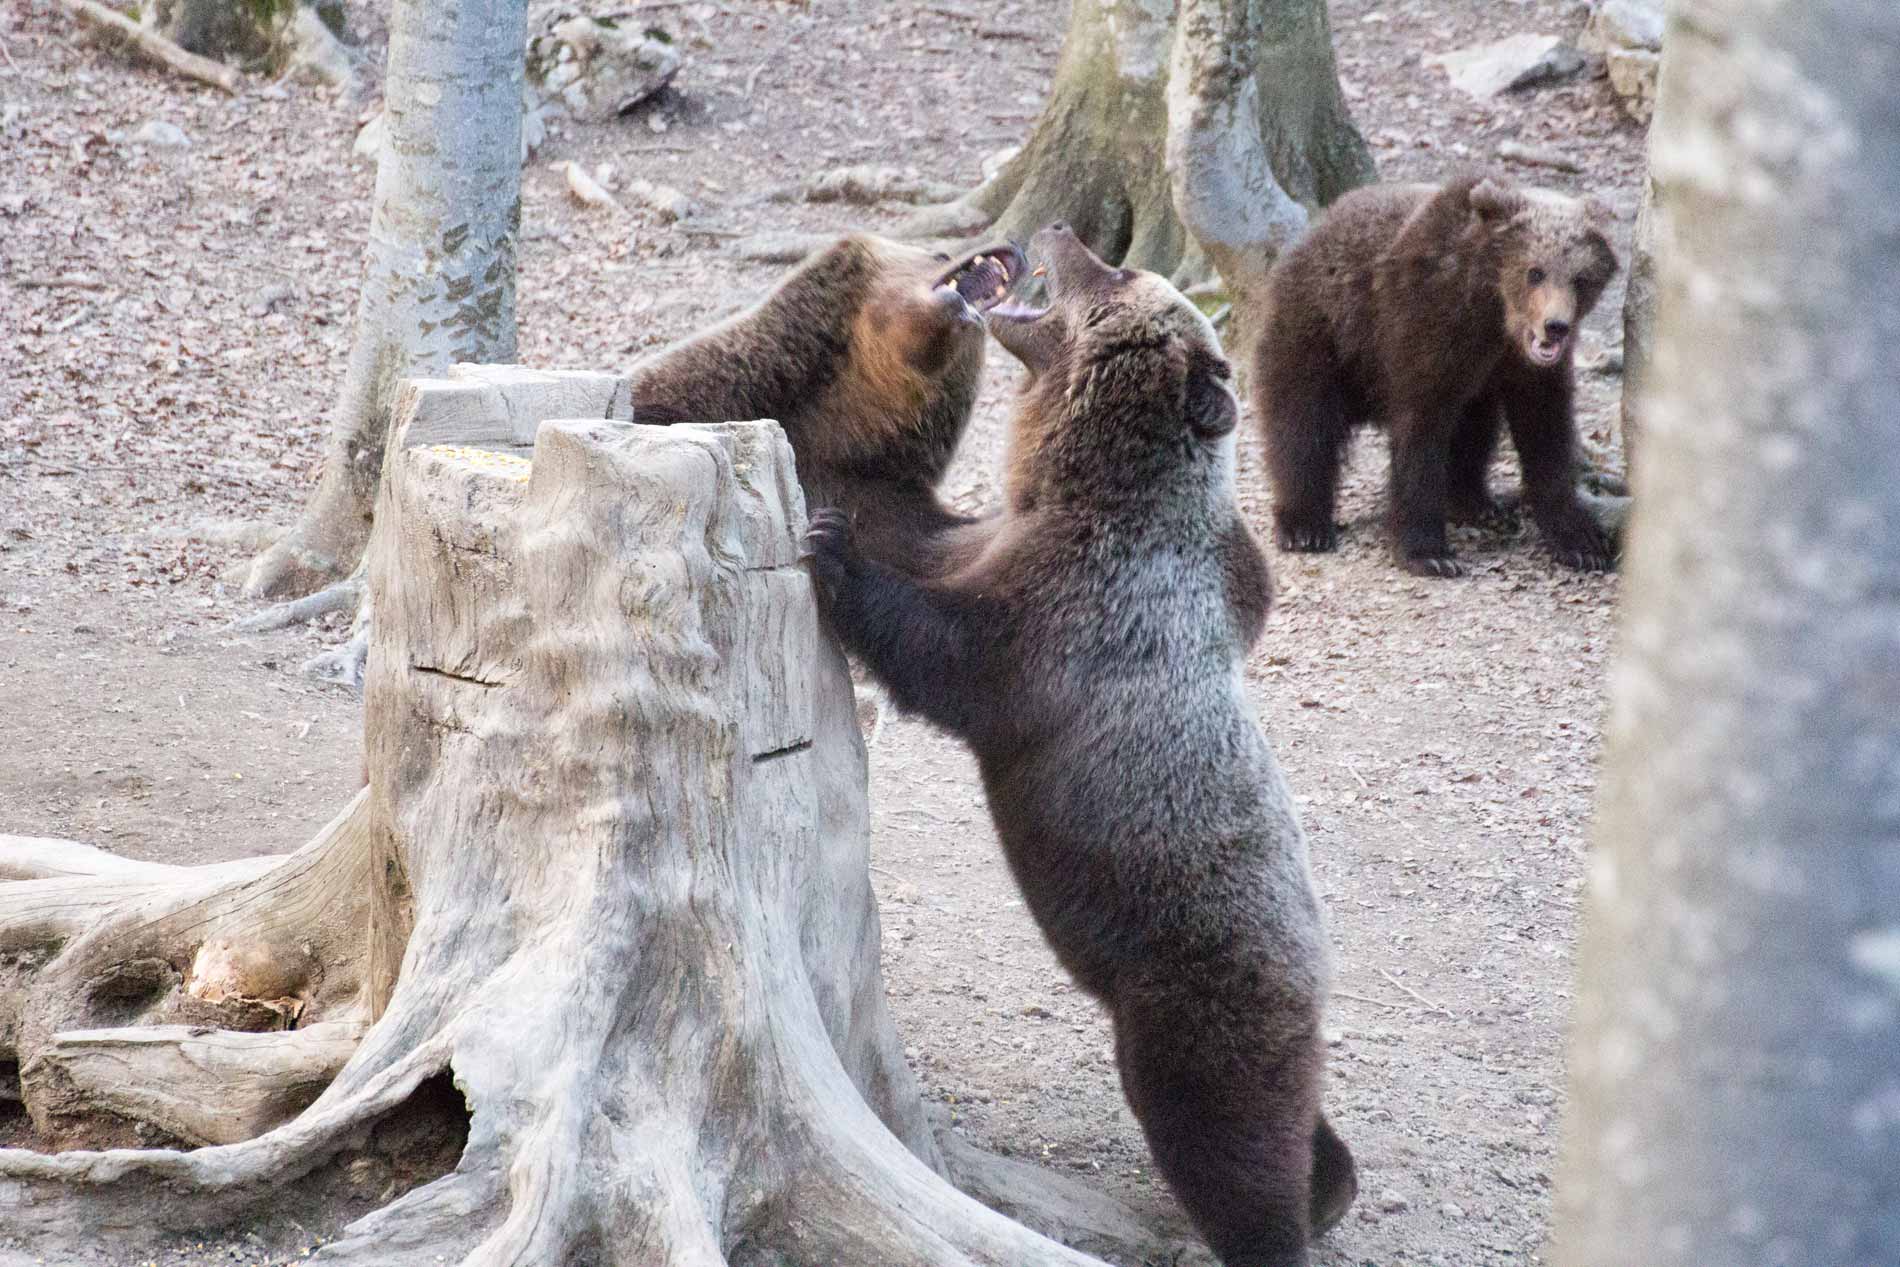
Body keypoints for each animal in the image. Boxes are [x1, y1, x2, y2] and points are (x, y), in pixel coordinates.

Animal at [809, 225, 1360, 1267]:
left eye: (1119, 273)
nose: (1064, 232)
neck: (1080, 491)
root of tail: (1316, 974)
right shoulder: (994, 541)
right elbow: (918, 534)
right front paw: (836, 488)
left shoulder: (1076, 618)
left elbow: (949, 659)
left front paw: (829, 550)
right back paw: (1333, 1183)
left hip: (1195, 999)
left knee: (1228, 1140)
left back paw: (1270, 1223)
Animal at [1261, 171, 1618, 573]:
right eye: (1535, 272)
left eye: (1580, 278)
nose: (1555, 326)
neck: (1492, 315)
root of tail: (1312, 231)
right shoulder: (1423, 324)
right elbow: (1421, 429)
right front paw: (1428, 553)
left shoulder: (1522, 368)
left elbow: (1546, 433)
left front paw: (1583, 542)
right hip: (1321, 331)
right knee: (1302, 422)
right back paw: (1304, 526)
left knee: (1475, 427)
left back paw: (1477, 503)